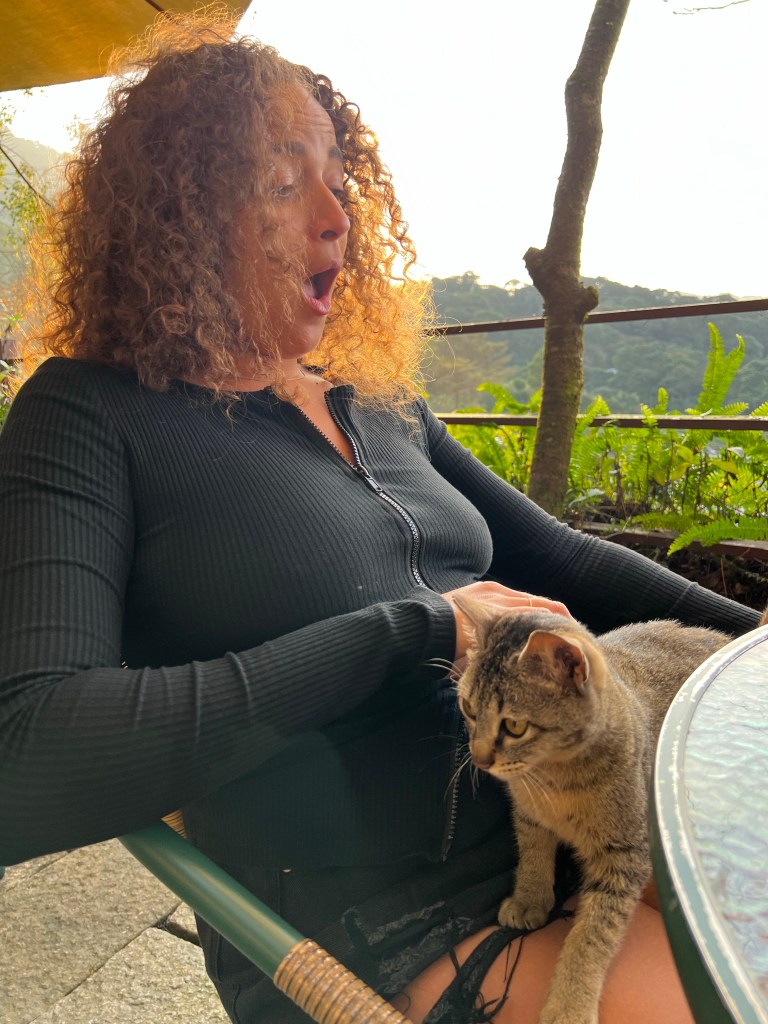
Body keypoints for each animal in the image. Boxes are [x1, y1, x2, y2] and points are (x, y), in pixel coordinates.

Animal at [453, 599, 746, 1024]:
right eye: (468, 708)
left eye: (515, 725)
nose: (479, 759)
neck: (554, 779)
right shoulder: (529, 816)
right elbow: (533, 857)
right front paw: (530, 897)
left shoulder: (624, 858)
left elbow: (590, 935)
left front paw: (569, 1004)